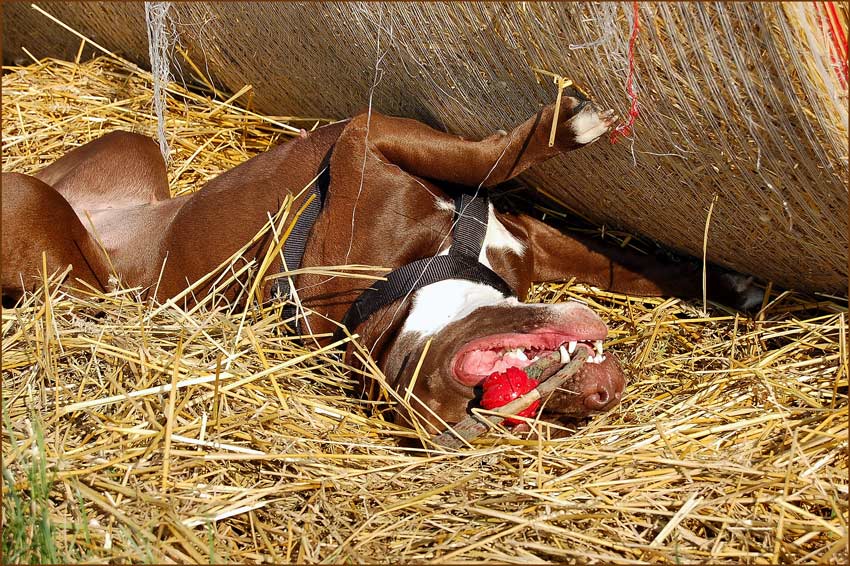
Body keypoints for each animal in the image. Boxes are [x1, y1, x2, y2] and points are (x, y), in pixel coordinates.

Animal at [3, 87, 760, 434]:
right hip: (46, 231)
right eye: (498, 402)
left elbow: (624, 265)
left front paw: (730, 286)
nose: (601, 397)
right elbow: (495, 156)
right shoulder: (366, 139)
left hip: (121, 151)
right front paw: (565, 126)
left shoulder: (530, 236)